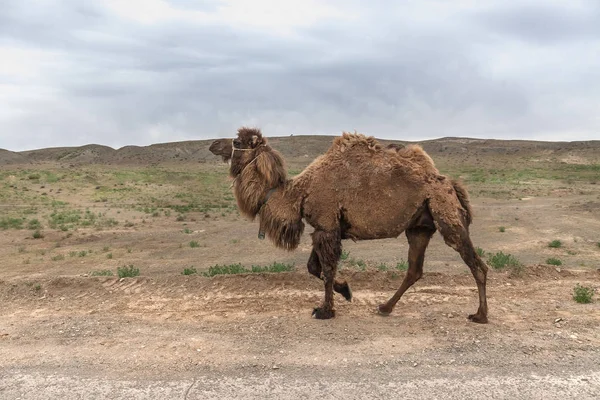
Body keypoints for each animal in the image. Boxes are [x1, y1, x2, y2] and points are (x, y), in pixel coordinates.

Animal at [213, 127, 490, 322]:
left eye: (238, 142)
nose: (214, 144)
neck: (298, 192)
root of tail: (450, 184)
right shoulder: (326, 228)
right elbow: (313, 267)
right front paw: (346, 291)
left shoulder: (326, 226)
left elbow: (325, 270)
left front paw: (325, 310)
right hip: (419, 227)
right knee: (414, 270)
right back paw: (385, 307)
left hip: (447, 217)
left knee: (477, 264)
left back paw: (480, 315)